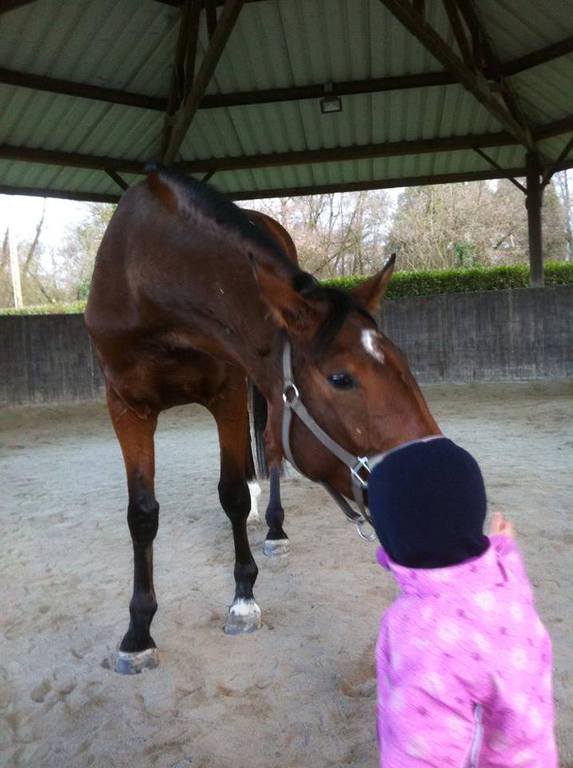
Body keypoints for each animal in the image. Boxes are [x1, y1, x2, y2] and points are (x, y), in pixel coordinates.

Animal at [85, 168, 439, 674]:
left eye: (403, 364)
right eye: (341, 378)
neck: (149, 280)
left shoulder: (229, 393)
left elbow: (232, 493)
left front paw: (243, 599)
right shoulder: (126, 407)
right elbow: (142, 514)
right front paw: (138, 632)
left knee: (269, 453)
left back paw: (273, 527)